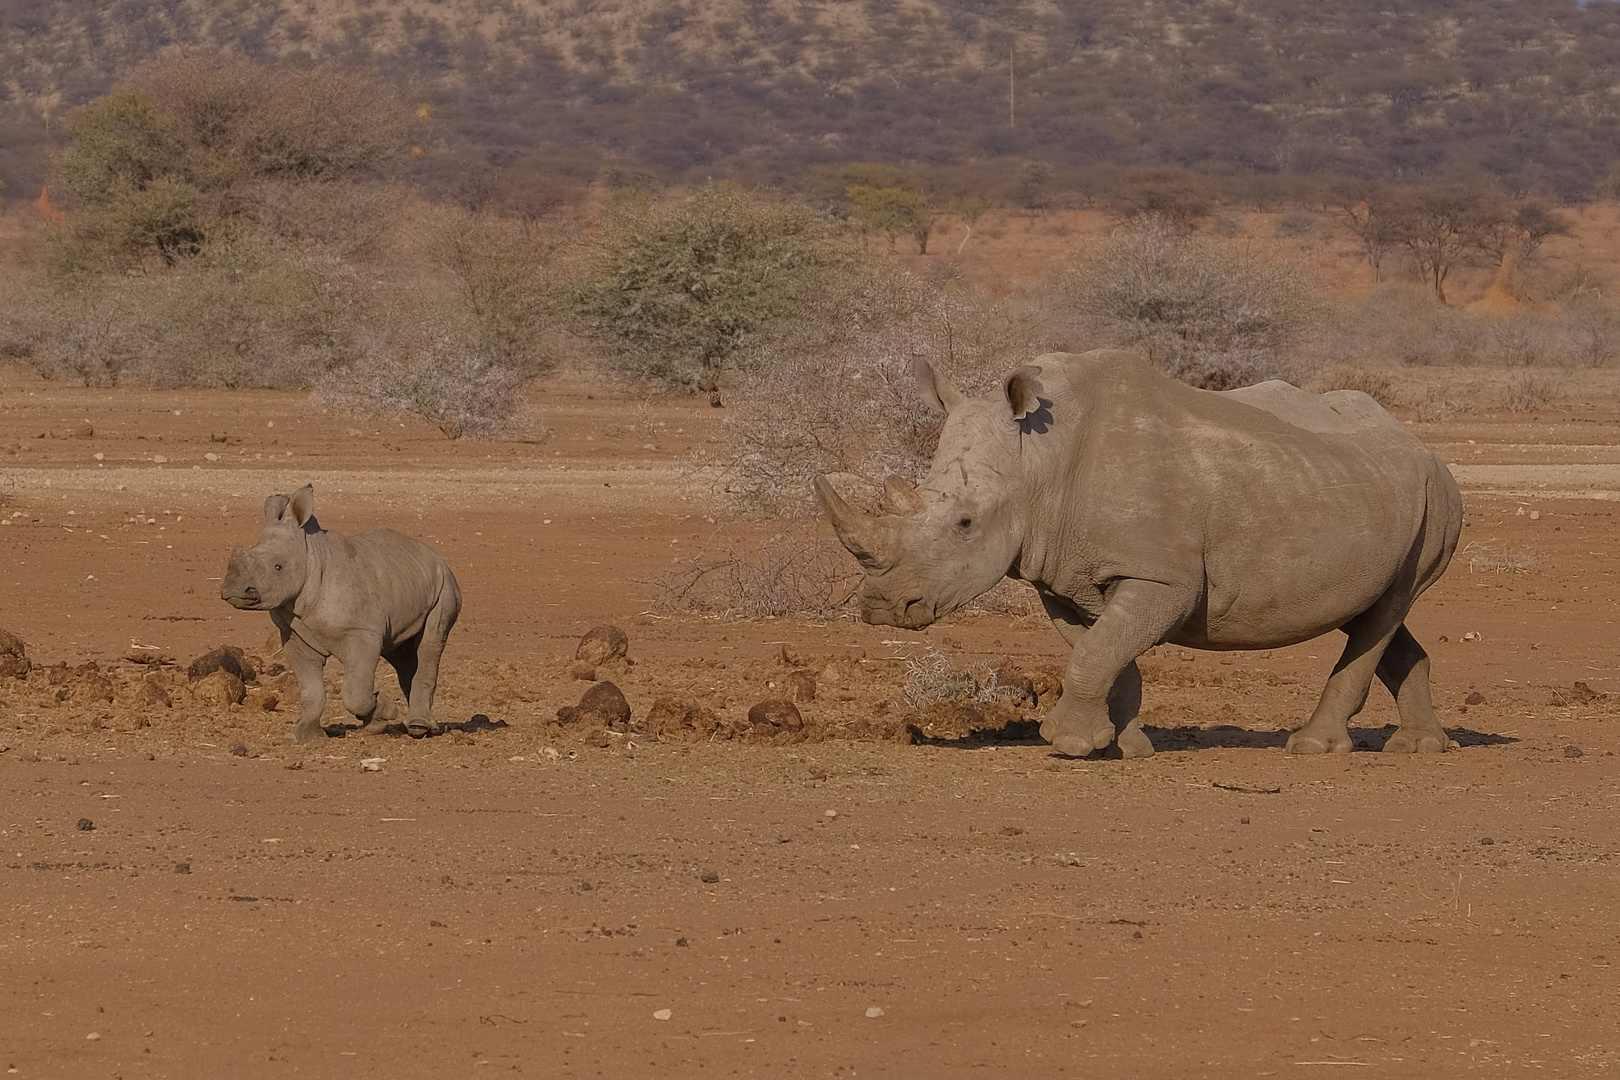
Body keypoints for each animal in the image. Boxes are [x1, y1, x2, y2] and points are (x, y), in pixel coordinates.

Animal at [221, 488, 463, 744]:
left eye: (278, 567)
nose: (232, 589)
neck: (311, 557)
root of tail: (434, 556)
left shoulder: (361, 632)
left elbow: (355, 693)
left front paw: (382, 714)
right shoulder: (294, 634)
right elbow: (311, 690)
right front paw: (301, 735)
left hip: (445, 584)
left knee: (430, 643)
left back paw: (418, 726)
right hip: (407, 580)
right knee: (401, 653)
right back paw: (427, 727)